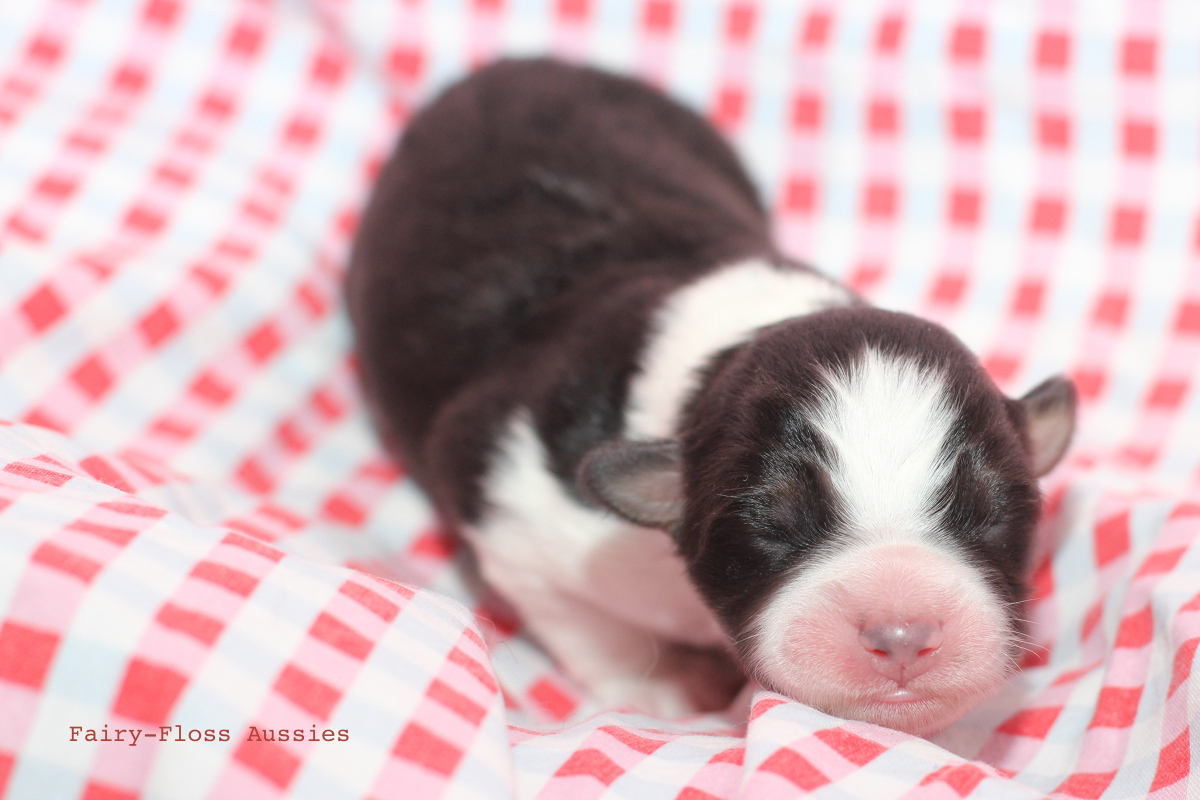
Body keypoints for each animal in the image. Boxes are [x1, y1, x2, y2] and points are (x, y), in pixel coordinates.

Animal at [348, 56, 1080, 734]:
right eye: (769, 524)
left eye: (993, 510)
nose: (901, 636)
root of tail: (520, 64)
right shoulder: (510, 500)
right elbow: (588, 626)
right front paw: (663, 685)